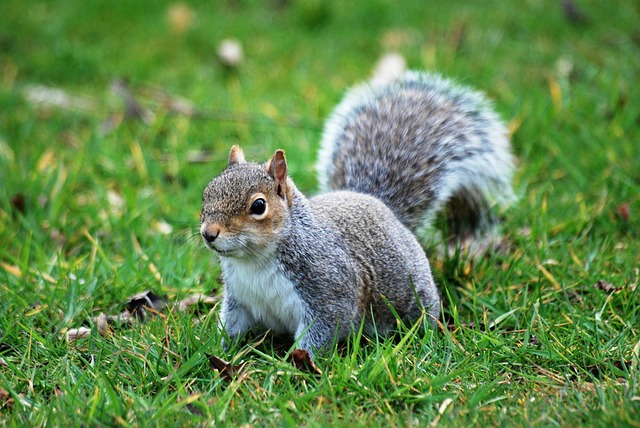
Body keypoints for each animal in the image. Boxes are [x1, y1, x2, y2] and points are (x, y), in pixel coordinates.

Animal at [200, 71, 514, 359]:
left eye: (258, 206)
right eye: (206, 193)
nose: (208, 233)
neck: (254, 261)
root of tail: (380, 205)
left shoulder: (330, 289)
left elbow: (324, 329)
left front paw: (294, 364)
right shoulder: (239, 298)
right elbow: (232, 325)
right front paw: (217, 349)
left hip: (414, 292)